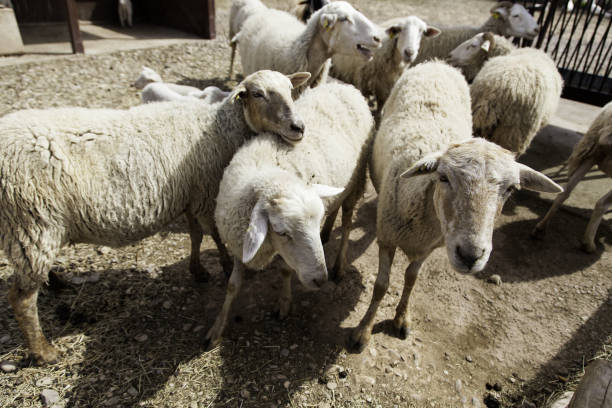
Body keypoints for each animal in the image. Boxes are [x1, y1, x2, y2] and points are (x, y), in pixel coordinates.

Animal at [0, 69, 314, 364]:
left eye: (290, 89)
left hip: (33, 229)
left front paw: (197, 270)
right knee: (21, 299)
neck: (220, 127)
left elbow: (196, 236)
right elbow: (214, 235)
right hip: (32, 222)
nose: (298, 127)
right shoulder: (206, 192)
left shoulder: (190, 194)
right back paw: (44, 351)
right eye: (258, 94)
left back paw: (55, 282)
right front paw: (225, 265)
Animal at [206, 81, 376, 350]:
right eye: (282, 232)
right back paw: (328, 232)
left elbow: (286, 271)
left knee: (348, 218)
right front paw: (216, 328)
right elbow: (232, 286)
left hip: (358, 177)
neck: (269, 175)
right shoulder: (237, 241)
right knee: (335, 206)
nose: (320, 280)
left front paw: (284, 303)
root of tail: (346, 86)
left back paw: (339, 264)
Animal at [350, 60, 564, 350]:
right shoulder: (388, 238)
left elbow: (411, 278)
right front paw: (363, 330)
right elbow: (381, 285)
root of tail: (438, 63)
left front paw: (402, 318)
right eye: (443, 177)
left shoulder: (430, 246)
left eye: (511, 189)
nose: (471, 256)